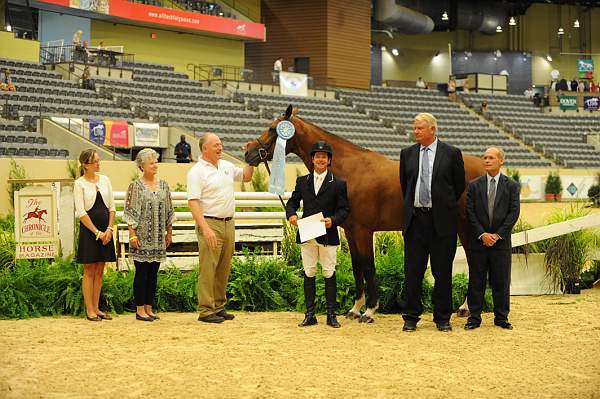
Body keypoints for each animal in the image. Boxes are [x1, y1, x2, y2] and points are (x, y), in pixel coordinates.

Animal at [246, 105, 486, 322]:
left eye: (272, 128)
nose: (248, 151)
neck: (351, 170)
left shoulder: (364, 231)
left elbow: (369, 267)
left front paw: (370, 311)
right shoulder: (350, 232)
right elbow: (357, 268)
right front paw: (355, 309)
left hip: (466, 227)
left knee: (475, 261)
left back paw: (467, 308)